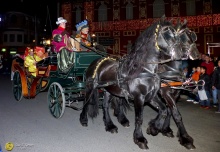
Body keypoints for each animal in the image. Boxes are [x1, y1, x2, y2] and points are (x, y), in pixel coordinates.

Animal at [79, 16, 186, 148]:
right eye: (167, 34)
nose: (180, 52)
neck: (144, 69)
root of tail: (96, 61)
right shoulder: (139, 97)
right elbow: (139, 118)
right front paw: (140, 138)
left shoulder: (151, 96)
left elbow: (164, 110)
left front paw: (154, 128)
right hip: (90, 87)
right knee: (86, 101)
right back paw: (83, 119)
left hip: (109, 90)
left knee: (105, 106)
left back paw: (110, 126)